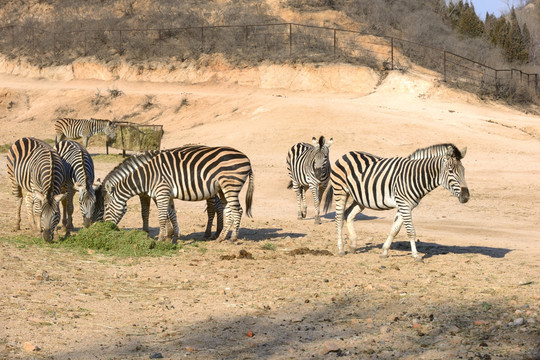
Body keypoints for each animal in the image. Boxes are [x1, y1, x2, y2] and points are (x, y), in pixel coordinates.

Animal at [103, 146, 251, 242]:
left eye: (105, 207)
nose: (105, 227)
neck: (147, 177)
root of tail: (246, 157)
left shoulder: (161, 193)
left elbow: (162, 216)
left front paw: (161, 238)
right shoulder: (167, 195)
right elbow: (172, 214)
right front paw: (174, 236)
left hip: (230, 185)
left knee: (237, 210)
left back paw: (232, 238)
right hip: (222, 189)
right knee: (228, 210)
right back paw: (221, 237)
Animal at [324, 143, 468, 258]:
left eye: (464, 171)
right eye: (451, 171)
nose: (466, 196)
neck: (414, 177)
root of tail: (346, 154)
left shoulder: (406, 205)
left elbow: (395, 229)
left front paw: (384, 252)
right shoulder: (404, 204)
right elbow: (411, 231)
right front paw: (416, 256)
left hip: (360, 198)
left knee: (348, 215)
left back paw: (353, 245)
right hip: (340, 191)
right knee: (338, 219)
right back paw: (341, 249)